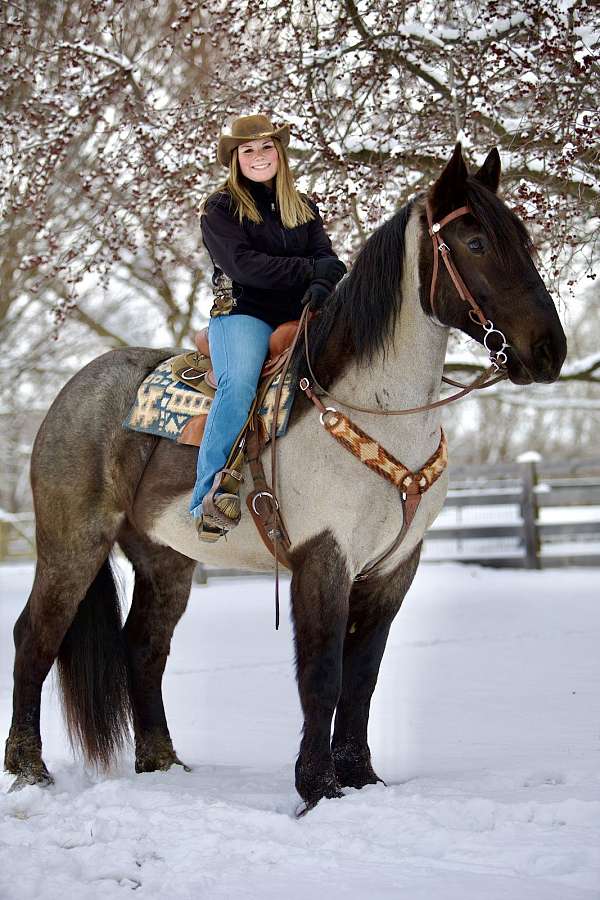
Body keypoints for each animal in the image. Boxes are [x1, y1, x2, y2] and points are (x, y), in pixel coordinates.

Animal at [4, 146, 568, 808]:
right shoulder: (323, 557)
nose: (549, 350)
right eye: (476, 242)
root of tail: (72, 392)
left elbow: (362, 678)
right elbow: (323, 674)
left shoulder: (393, 568)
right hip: (73, 544)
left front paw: (361, 778)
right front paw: (317, 787)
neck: (368, 408)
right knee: (34, 636)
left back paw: (161, 762)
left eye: (524, 238)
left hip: (165, 559)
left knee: (143, 646)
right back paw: (29, 769)